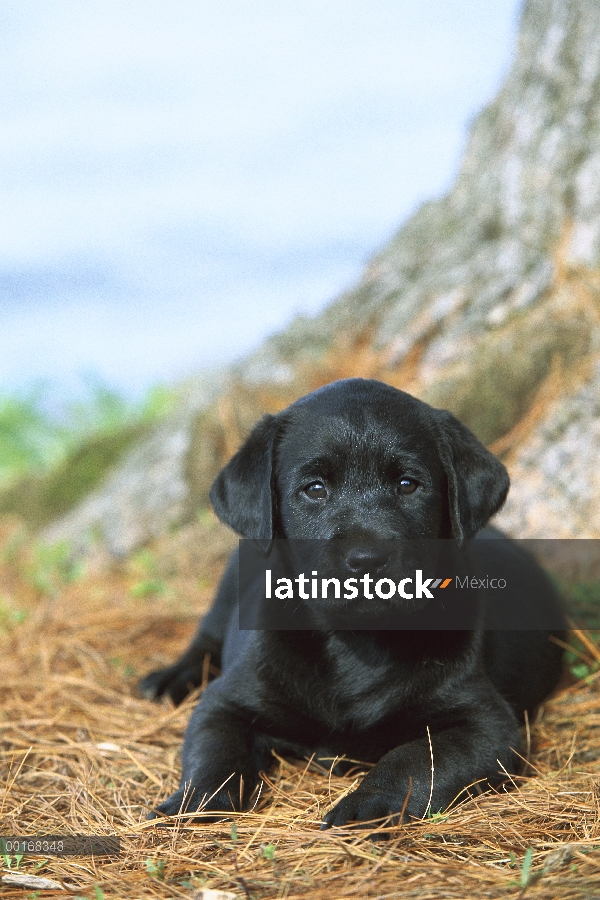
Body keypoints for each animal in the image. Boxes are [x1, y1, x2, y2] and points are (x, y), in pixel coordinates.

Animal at [139, 376, 564, 828]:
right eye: (315, 489)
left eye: (408, 484)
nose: (366, 559)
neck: (357, 643)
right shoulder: (224, 701)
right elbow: (215, 753)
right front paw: (192, 804)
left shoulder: (486, 724)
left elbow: (413, 758)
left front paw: (366, 807)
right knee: (206, 637)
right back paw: (168, 679)